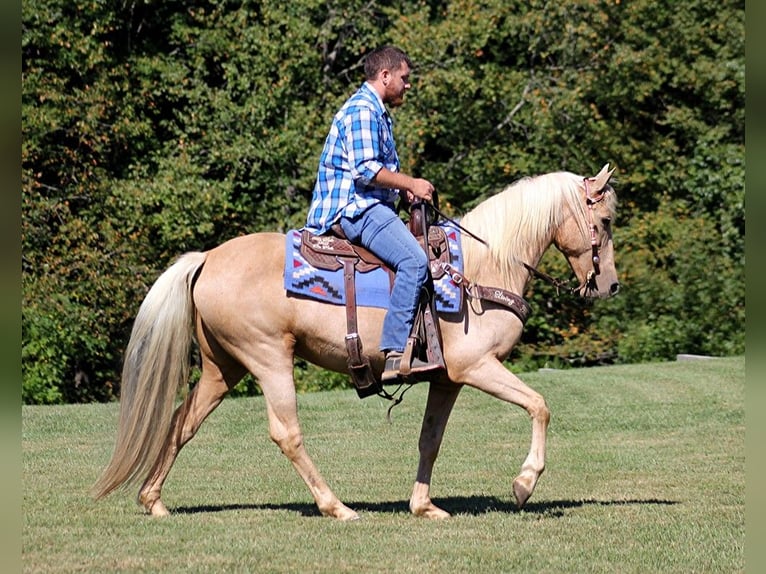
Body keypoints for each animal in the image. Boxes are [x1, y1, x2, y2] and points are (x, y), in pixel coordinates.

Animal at [91, 164, 616, 520]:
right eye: (607, 221)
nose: (609, 285)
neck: (482, 269)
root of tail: (206, 259)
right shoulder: (476, 366)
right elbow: (539, 406)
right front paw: (524, 483)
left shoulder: (447, 379)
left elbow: (430, 439)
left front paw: (424, 506)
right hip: (268, 358)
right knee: (286, 433)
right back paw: (335, 505)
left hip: (224, 368)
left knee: (183, 422)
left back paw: (153, 500)